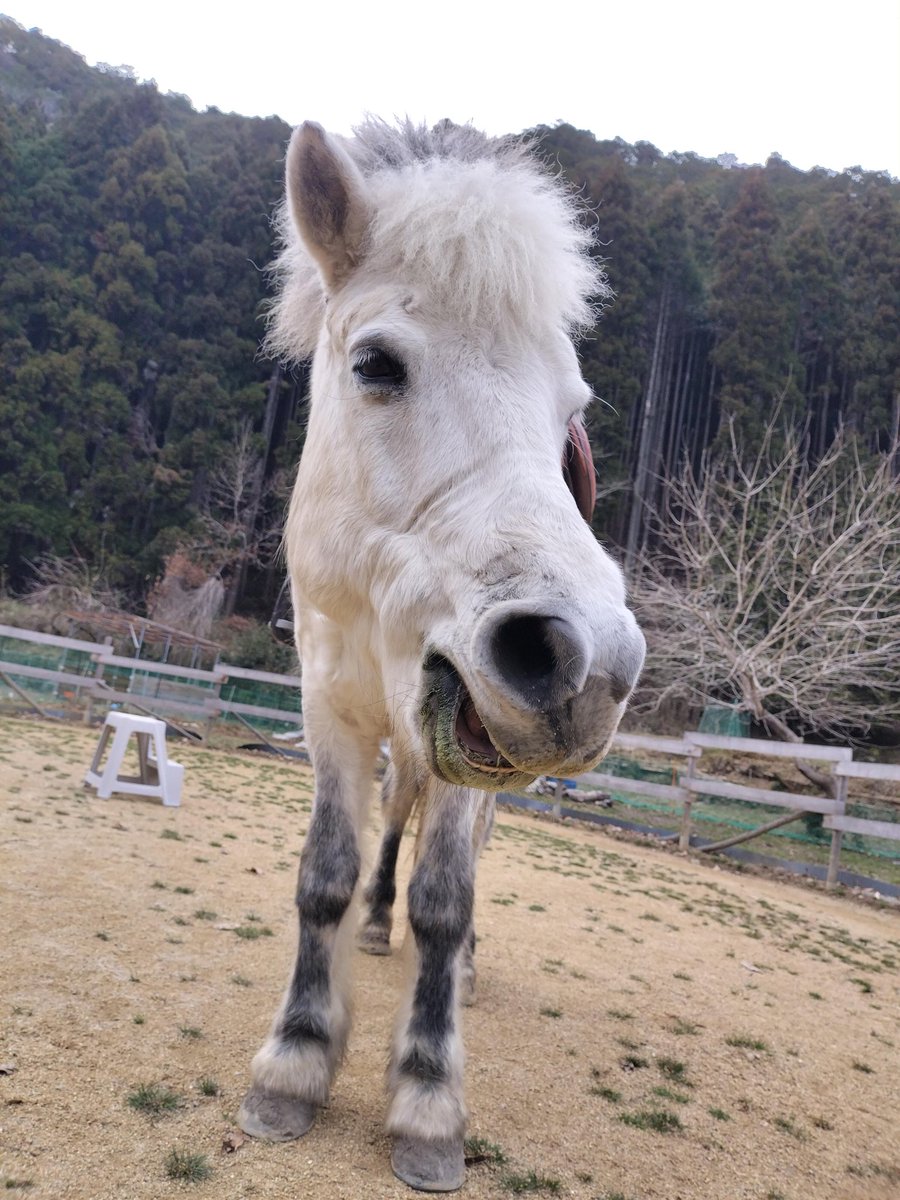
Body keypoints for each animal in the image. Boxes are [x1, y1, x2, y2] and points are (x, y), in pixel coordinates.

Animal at [237, 118, 646, 1192]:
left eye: (569, 408)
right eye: (377, 363)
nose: (585, 662)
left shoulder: (475, 738)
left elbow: (447, 897)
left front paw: (427, 1097)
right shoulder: (328, 710)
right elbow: (328, 872)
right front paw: (295, 1061)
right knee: (393, 828)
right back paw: (377, 925)